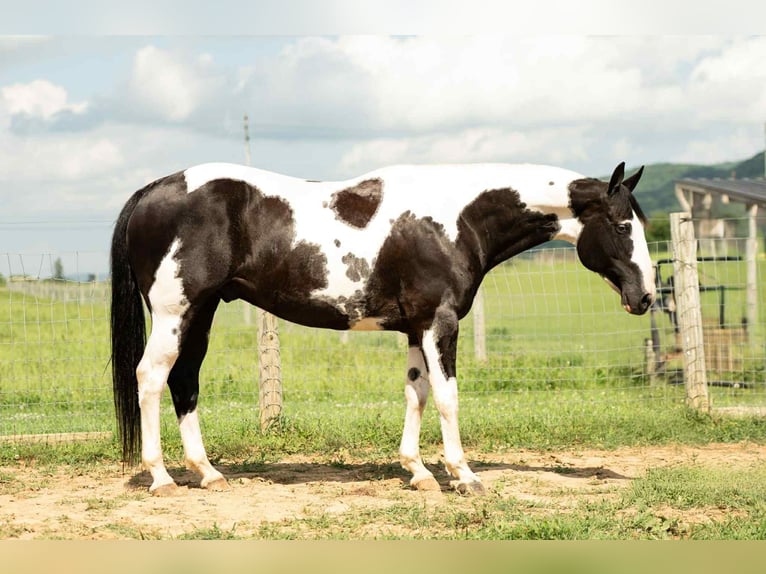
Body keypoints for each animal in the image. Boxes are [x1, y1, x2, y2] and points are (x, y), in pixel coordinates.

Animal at [110, 160, 654, 496]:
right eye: (622, 226)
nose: (646, 296)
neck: (453, 220)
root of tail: (153, 191)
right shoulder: (439, 322)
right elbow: (447, 397)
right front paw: (464, 476)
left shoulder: (415, 328)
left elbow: (416, 393)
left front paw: (418, 472)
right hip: (175, 312)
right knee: (151, 377)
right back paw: (161, 478)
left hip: (200, 313)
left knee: (185, 380)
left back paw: (207, 473)